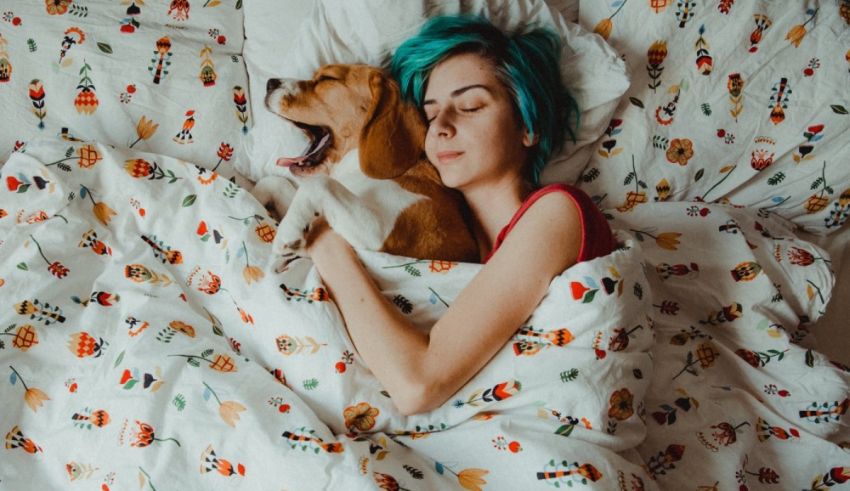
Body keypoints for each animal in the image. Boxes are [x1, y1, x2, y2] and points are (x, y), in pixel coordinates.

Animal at [252, 65, 476, 266]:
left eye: (327, 78)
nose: (270, 83)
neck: (354, 169)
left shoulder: (378, 232)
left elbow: (319, 183)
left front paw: (288, 230)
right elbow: (273, 183)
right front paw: (252, 199)